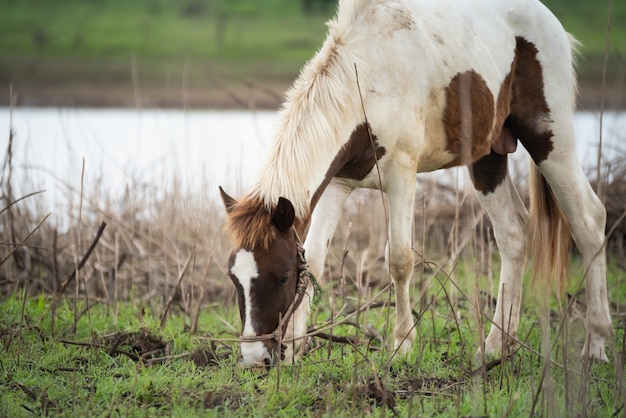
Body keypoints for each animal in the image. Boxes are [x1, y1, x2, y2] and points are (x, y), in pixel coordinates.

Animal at [219, 0, 608, 366]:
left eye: (282, 277)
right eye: (234, 278)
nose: (255, 358)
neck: (368, 75)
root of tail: (549, 21)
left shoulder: (401, 175)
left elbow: (400, 259)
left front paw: (403, 345)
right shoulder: (338, 183)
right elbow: (314, 258)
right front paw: (297, 347)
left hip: (550, 142)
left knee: (589, 221)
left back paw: (596, 345)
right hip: (487, 156)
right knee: (513, 233)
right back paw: (496, 346)